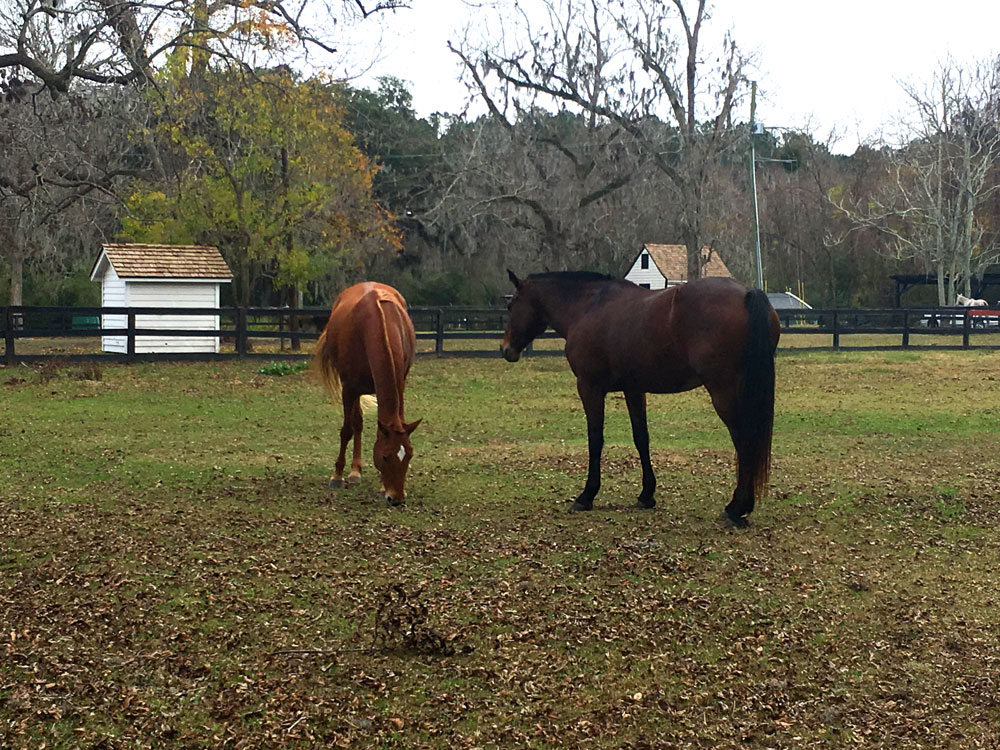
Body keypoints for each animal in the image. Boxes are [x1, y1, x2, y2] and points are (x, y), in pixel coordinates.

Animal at [314, 284, 420, 508]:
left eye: (409, 455)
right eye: (385, 457)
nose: (396, 499)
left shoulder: (400, 385)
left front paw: (382, 487)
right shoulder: (349, 388)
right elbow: (347, 430)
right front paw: (337, 476)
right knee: (357, 424)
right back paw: (354, 472)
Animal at [500, 272, 780, 528]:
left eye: (511, 306)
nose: (505, 349)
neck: (587, 307)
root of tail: (747, 292)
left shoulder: (590, 387)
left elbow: (595, 439)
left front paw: (587, 495)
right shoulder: (633, 389)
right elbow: (641, 438)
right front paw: (646, 495)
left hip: (722, 390)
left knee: (743, 440)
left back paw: (736, 508)